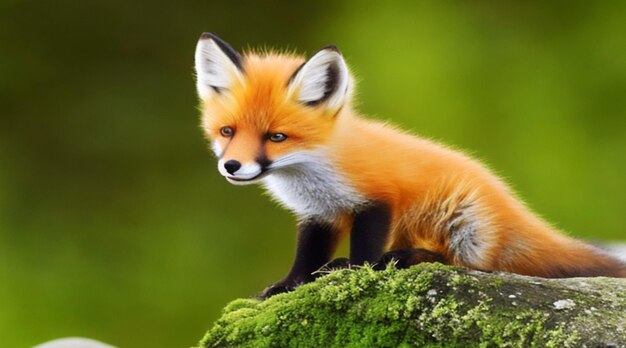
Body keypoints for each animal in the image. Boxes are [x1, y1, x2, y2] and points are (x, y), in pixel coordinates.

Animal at [194, 32, 624, 298]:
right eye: (228, 131)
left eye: (276, 137)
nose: (232, 166)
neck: (312, 171)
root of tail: (513, 206)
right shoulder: (320, 213)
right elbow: (306, 257)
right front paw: (288, 285)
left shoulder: (379, 198)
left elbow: (364, 250)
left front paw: (355, 272)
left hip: (463, 226)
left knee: (469, 266)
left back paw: (403, 259)